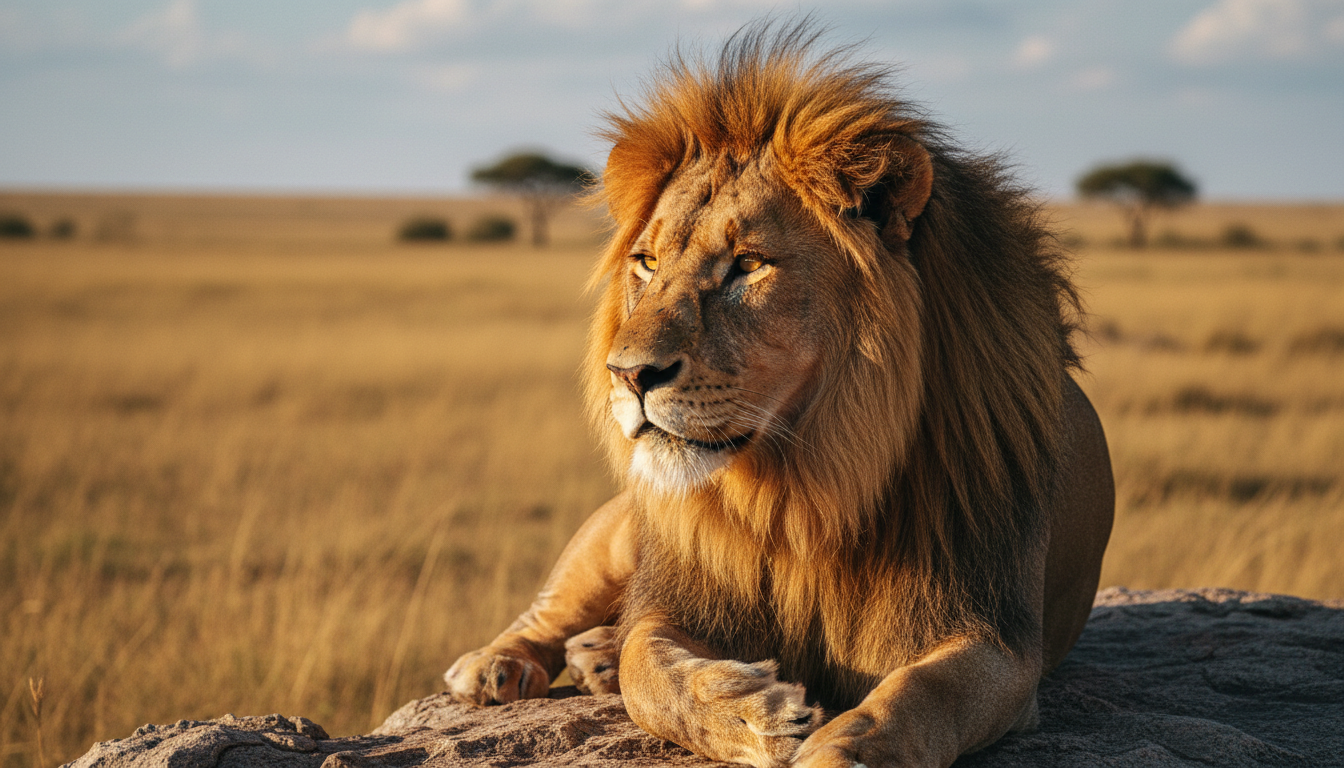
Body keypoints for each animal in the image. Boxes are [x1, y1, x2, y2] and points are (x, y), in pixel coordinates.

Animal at [444, 23, 1114, 768]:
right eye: (646, 262)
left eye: (748, 265)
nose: (628, 374)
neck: (803, 489)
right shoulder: (680, 601)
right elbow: (652, 674)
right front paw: (754, 711)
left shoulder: (996, 636)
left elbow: (920, 695)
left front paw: (838, 749)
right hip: (617, 533)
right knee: (554, 608)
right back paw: (499, 665)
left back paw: (594, 658)